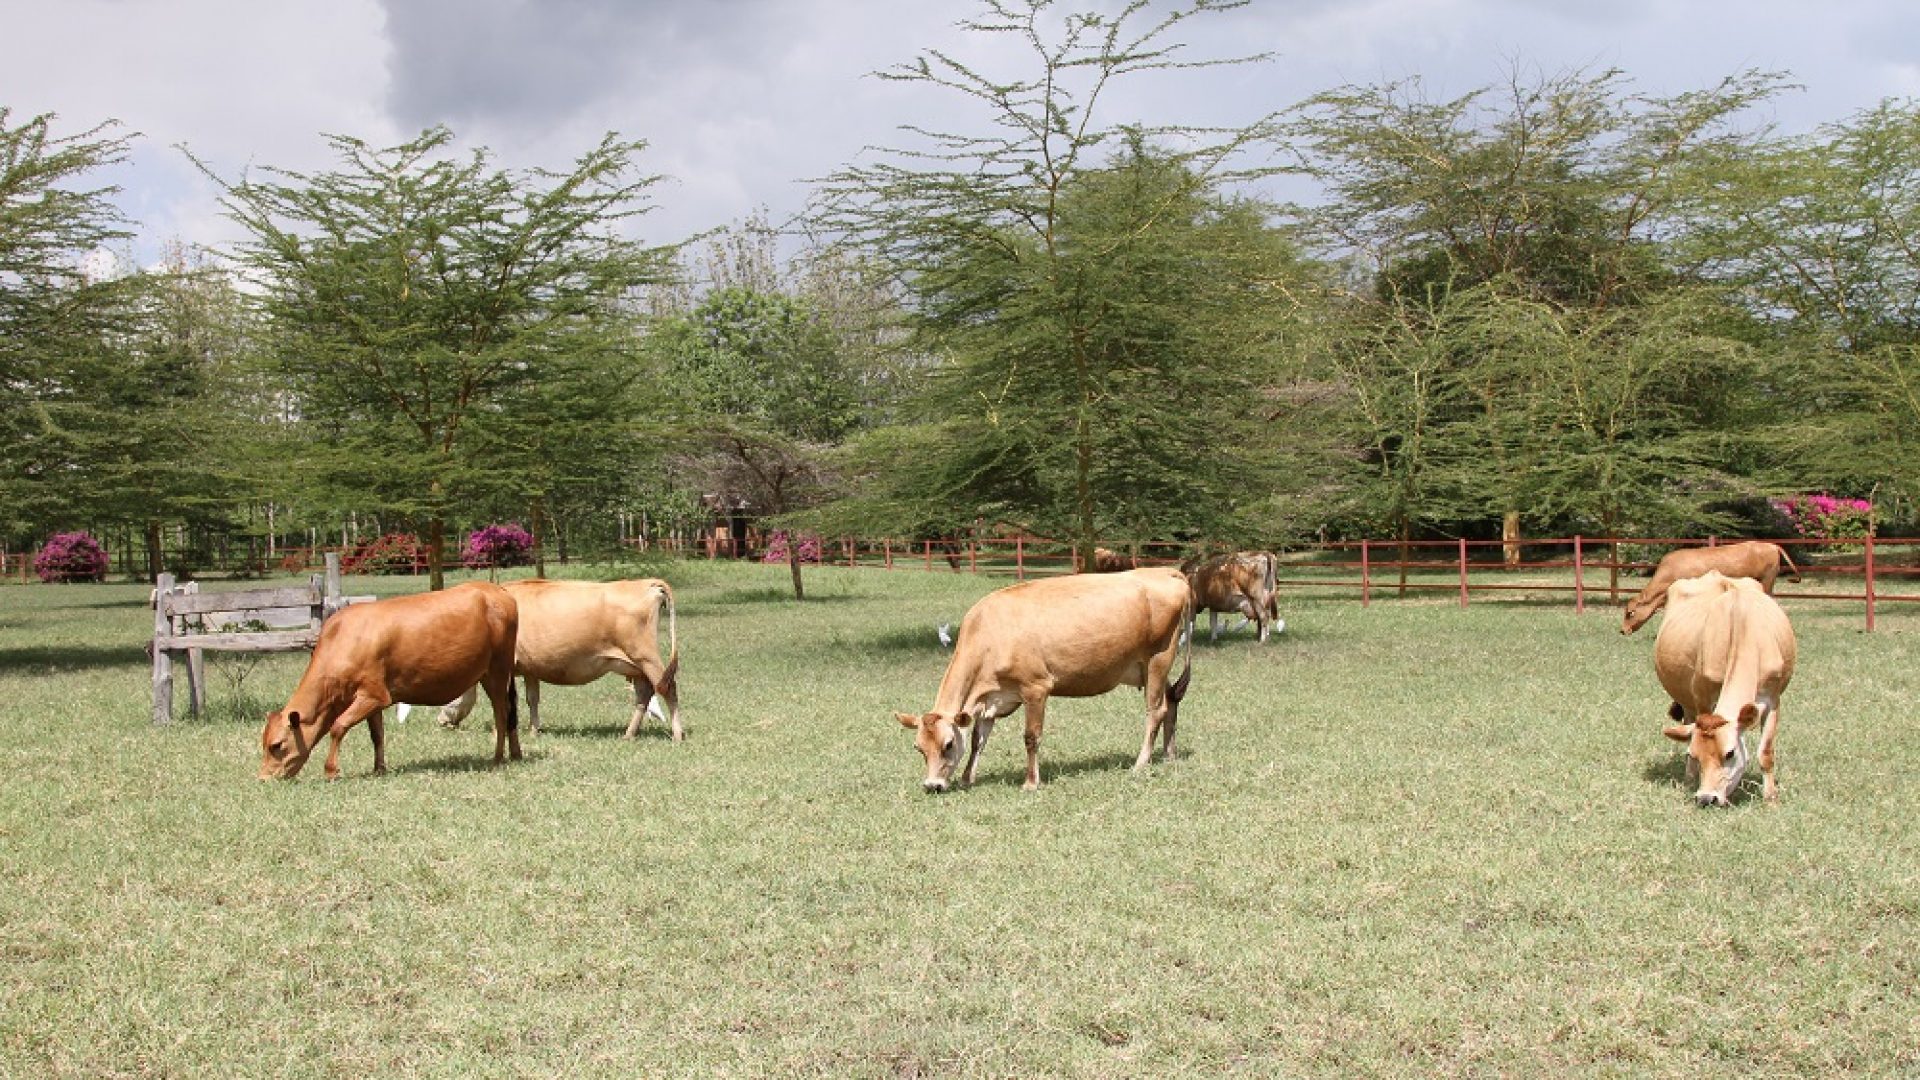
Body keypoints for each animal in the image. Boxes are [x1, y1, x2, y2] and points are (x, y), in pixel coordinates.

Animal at [259, 582, 520, 780]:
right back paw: (515, 753)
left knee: (501, 712)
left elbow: (338, 726)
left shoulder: (375, 695)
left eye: (276, 745)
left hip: (498, 671)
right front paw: (379, 769)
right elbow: (377, 735)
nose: (263, 778)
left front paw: (331, 770)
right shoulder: (371, 700)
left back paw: (498, 758)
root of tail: (497, 590)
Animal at [437, 577, 681, 740]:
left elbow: (503, 699)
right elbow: (532, 698)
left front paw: (500, 731)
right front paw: (534, 731)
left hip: (646, 657)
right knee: (644, 695)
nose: (440, 721)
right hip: (635, 666)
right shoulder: (530, 668)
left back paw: (678, 734)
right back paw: (628, 734)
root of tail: (647, 583)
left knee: (668, 689)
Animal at [893, 567, 1194, 792]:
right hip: (1145, 668)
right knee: (1172, 699)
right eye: (918, 748)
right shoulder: (991, 698)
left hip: (1158, 659)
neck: (989, 634)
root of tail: (1164, 571)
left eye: (948, 745)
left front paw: (1030, 782)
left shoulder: (1035, 688)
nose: (932, 785)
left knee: (1156, 710)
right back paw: (1169, 754)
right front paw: (968, 778)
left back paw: (1140, 762)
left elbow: (1031, 737)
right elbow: (979, 739)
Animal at [1654, 572, 1796, 807]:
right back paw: (1689, 778)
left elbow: (1766, 752)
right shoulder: (1702, 699)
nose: (1706, 798)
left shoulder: (1773, 700)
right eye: (1696, 755)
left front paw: (1770, 797)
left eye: (1730, 753)